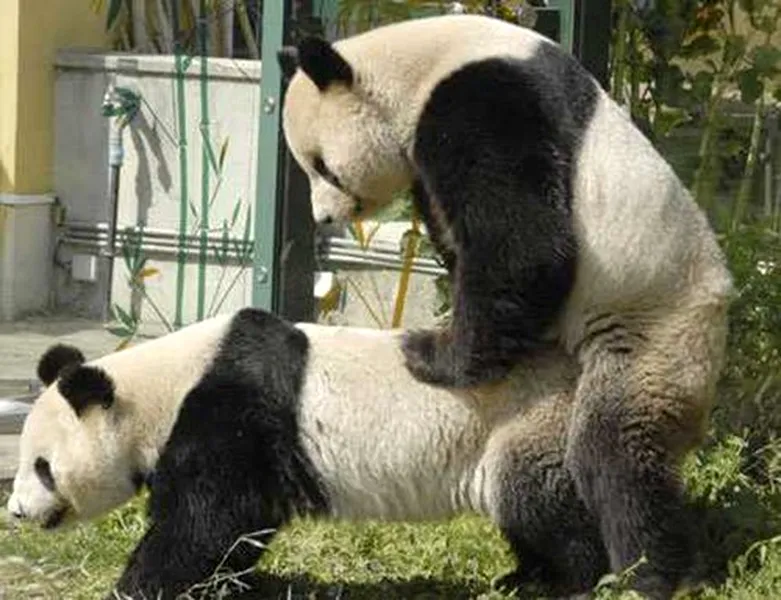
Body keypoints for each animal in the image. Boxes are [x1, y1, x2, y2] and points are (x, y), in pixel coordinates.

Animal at [6, 307, 609, 600]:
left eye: (42, 467)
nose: (15, 512)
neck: (161, 387)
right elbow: (238, 528)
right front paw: (229, 583)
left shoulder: (227, 411)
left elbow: (207, 519)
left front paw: (137, 586)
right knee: (527, 517)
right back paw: (524, 579)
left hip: (528, 422)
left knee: (551, 508)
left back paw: (578, 581)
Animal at [278, 13, 734, 600]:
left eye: (323, 167)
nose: (324, 219)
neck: (417, 64)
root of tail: (718, 307)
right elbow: (466, 243)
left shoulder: (484, 100)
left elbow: (523, 244)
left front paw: (432, 355)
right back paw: (530, 574)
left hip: (655, 328)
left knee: (618, 452)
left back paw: (647, 573)